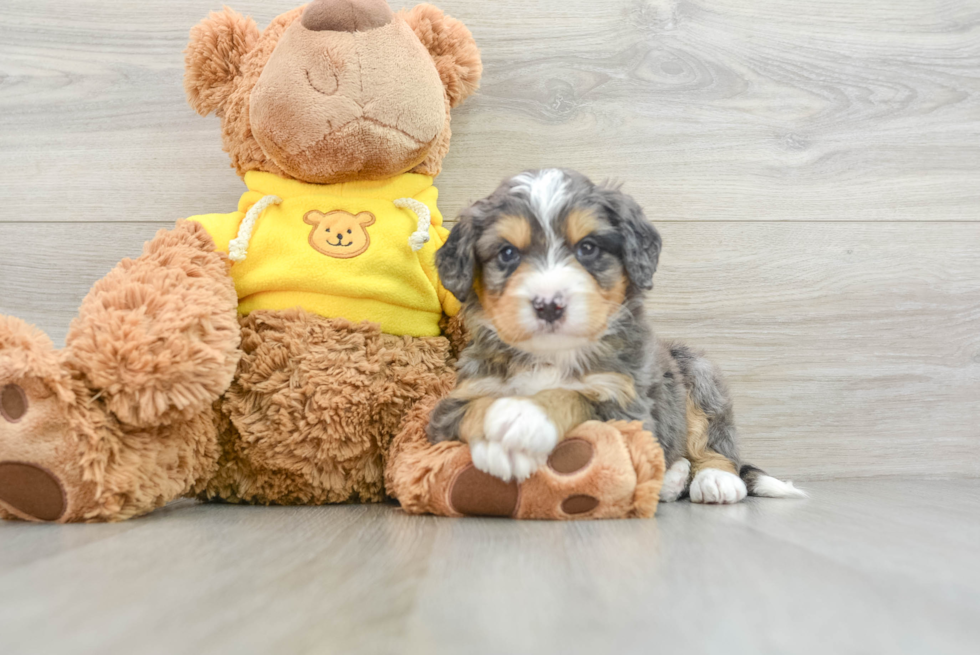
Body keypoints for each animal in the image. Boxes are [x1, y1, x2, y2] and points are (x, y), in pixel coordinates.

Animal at [428, 170, 804, 508]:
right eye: (507, 253)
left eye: (588, 248)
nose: (549, 305)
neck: (552, 355)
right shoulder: (453, 405)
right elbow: (475, 408)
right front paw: (498, 433)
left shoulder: (626, 404)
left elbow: (573, 397)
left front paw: (526, 419)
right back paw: (671, 478)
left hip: (698, 372)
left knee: (714, 443)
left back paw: (715, 480)